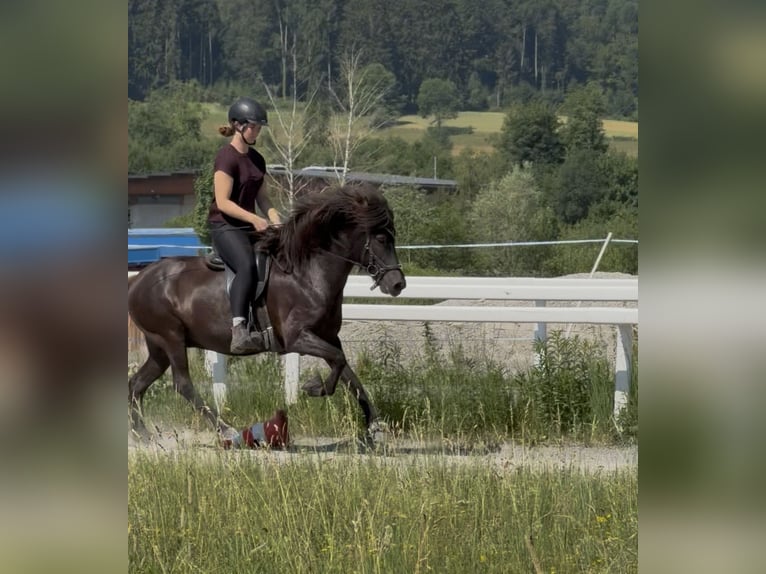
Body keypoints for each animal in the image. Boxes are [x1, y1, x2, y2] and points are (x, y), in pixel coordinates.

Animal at [128, 184, 407, 444]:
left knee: (136, 384)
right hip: (171, 337)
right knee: (182, 383)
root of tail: (139, 278)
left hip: (159, 346)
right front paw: (314, 387)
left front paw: (375, 427)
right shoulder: (297, 338)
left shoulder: (328, 337)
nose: (398, 284)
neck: (307, 274)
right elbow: (339, 363)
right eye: (381, 239)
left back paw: (141, 434)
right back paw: (226, 429)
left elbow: (349, 375)